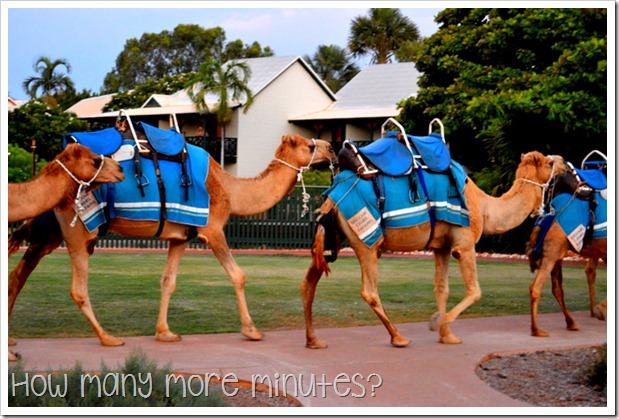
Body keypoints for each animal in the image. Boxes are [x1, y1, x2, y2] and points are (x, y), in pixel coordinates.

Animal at [301, 151, 559, 348]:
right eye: (550, 162)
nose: (564, 163)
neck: (485, 207)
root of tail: (331, 198)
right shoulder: (464, 244)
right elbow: (475, 291)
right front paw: (439, 324)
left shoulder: (441, 247)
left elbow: (441, 289)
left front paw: (447, 335)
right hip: (365, 240)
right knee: (369, 290)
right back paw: (398, 337)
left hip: (332, 239)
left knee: (308, 283)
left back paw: (314, 340)